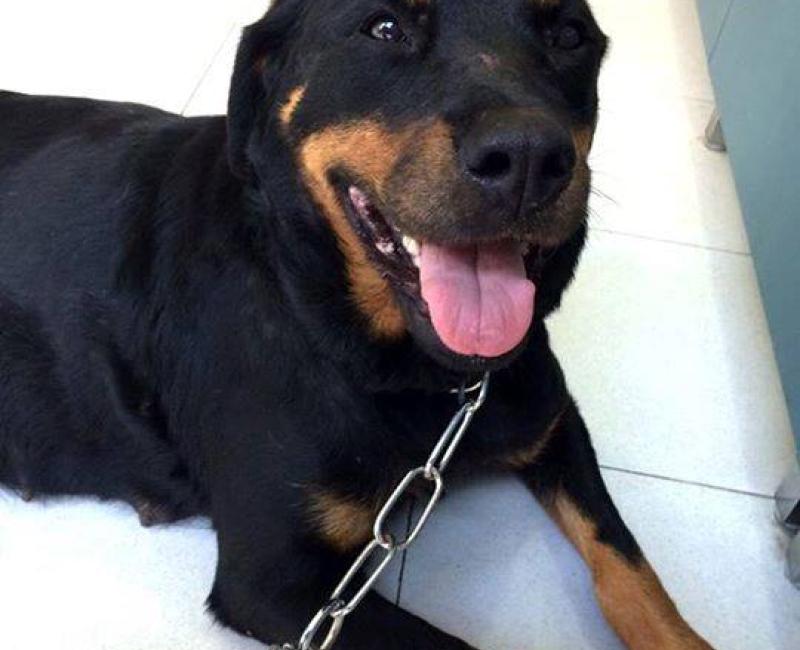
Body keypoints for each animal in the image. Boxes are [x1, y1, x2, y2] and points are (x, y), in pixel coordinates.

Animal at [0, 0, 714, 648]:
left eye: (568, 36)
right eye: (386, 28)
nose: (529, 156)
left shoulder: (547, 414)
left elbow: (627, 565)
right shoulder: (280, 584)